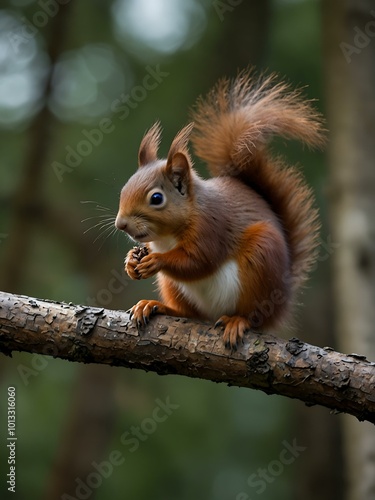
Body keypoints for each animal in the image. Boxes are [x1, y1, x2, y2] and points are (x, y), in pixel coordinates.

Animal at [116, 71, 324, 348]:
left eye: (156, 198)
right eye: (124, 188)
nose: (121, 224)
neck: (167, 237)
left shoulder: (212, 227)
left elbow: (199, 261)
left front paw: (157, 260)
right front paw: (131, 261)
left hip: (262, 260)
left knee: (254, 317)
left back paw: (238, 321)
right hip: (174, 288)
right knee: (190, 314)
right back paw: (155, 306)